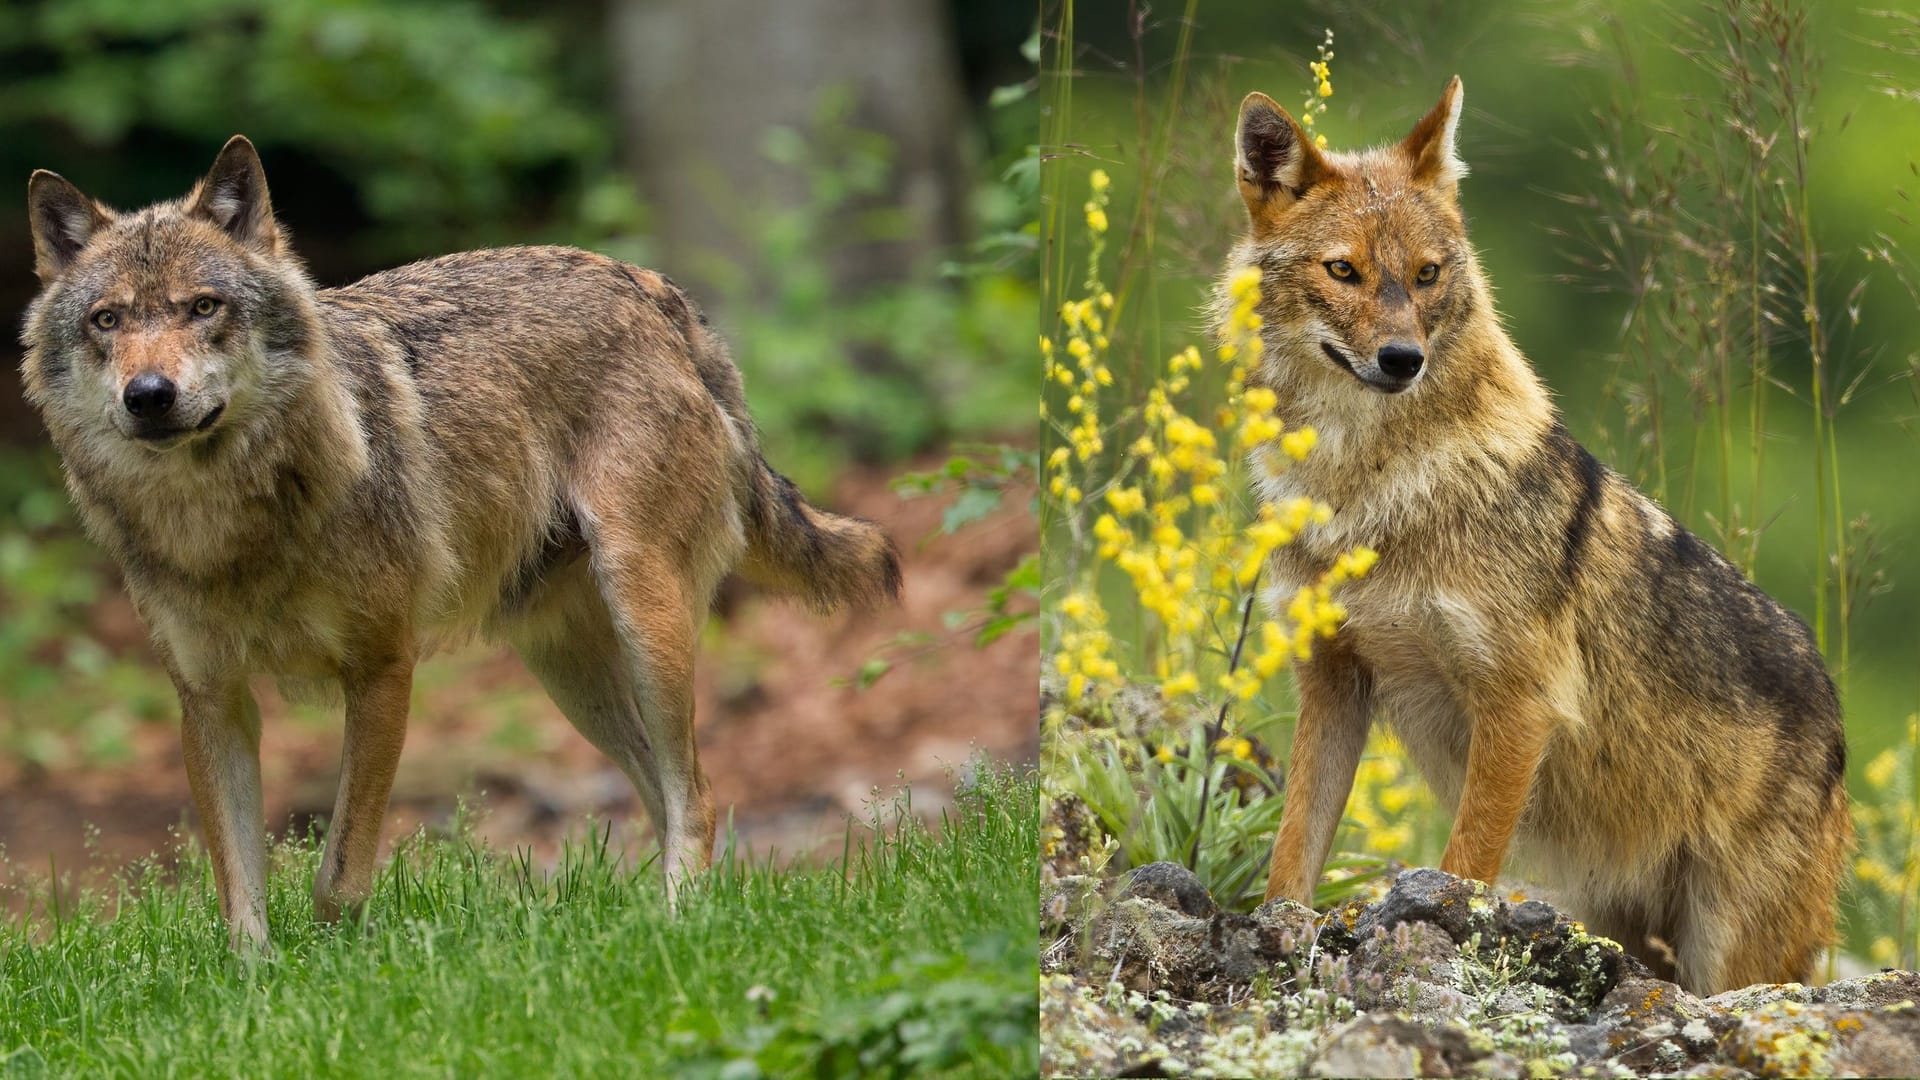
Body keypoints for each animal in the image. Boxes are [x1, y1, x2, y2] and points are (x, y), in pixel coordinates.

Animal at [18, 134, 898, 941]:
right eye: (107, 320)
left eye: (203, 307)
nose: (148, 395)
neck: (225, 526)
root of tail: (650, 287)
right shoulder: (210, 701)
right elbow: (240, 901)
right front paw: (259, 991)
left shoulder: (381, 670)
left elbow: (340, 874)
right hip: (570, 674)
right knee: (661, 791)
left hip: (645, 619)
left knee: (700, 795)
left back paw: (681, 927)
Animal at [1221, 73, 1850, 983]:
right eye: (1344, 270)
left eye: (1427, 274)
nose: (1403, 360)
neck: (1368, 490)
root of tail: (1836, 716)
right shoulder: (1333, 679)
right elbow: (1294, 844)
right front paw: (1280, 931)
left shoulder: (1519, 709)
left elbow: (1464, 865)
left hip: (1729, 952)